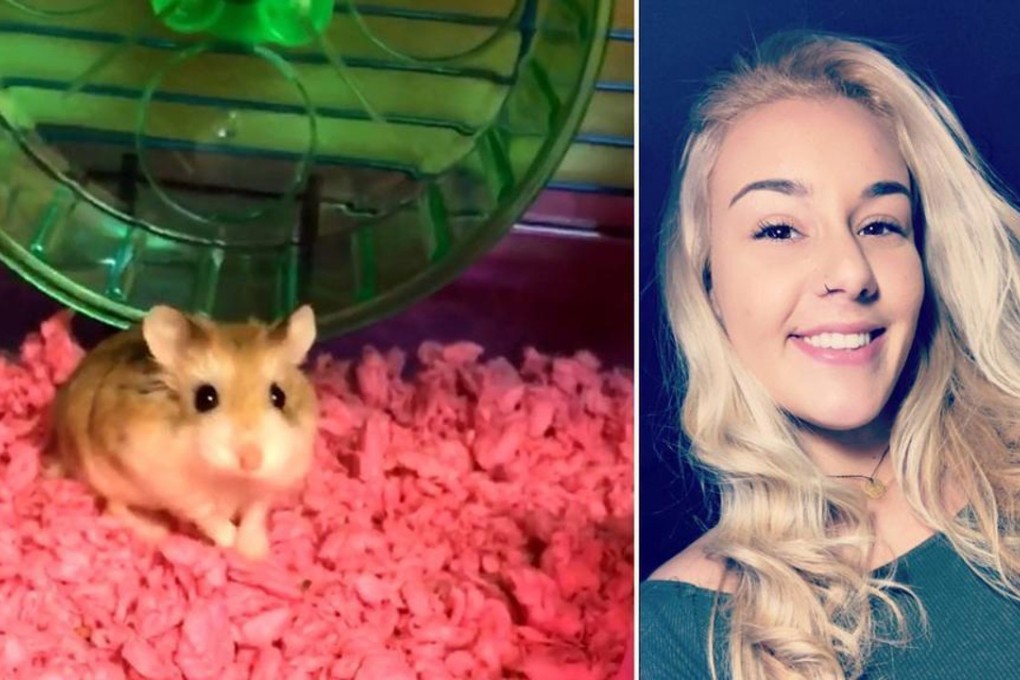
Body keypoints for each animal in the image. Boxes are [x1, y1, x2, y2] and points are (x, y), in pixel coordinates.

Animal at [50, 304, 319, 560]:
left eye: (279, 396)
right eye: (205, 398)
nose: (251, 461)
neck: (231, 478)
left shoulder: (271, 483)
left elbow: (255, 511)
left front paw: (255, 552)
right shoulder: (179, 489)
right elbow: (210, 516)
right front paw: (232, 542)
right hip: (108, 478)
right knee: (113, 508)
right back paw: (157, 530)